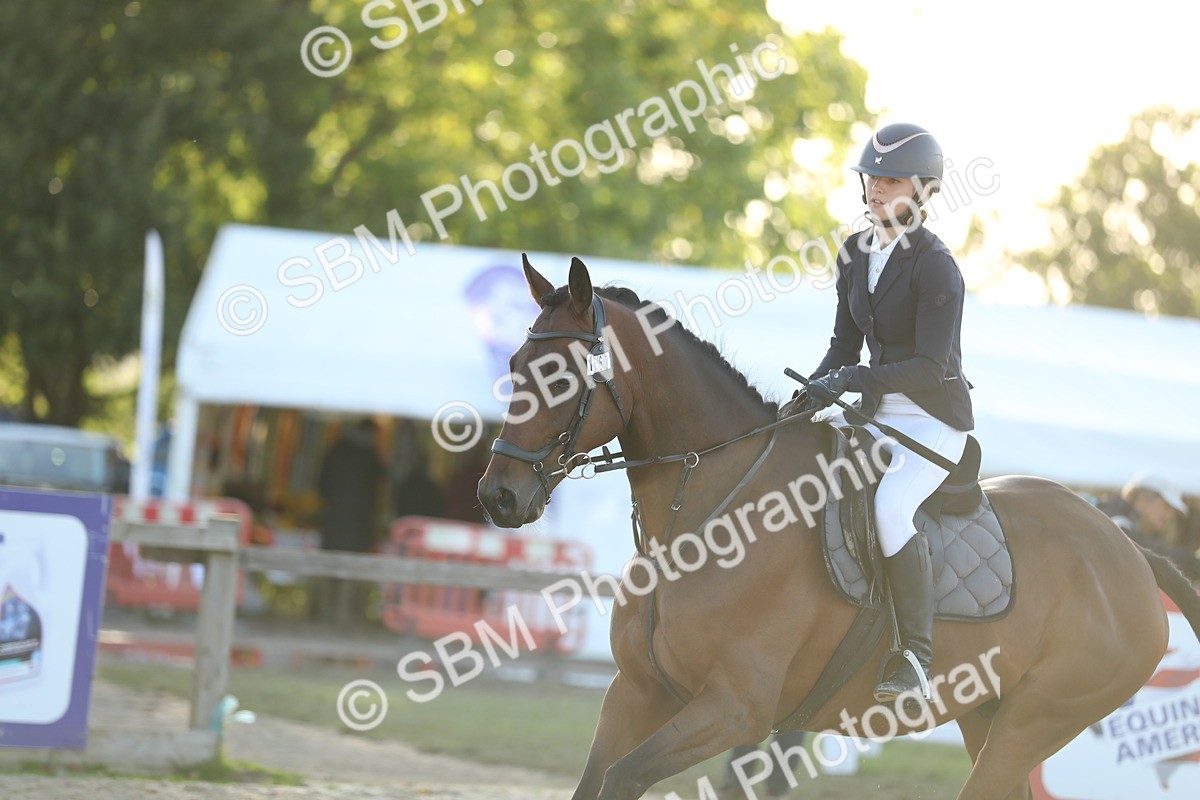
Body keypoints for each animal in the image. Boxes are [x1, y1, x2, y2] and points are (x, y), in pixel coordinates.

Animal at [477, 254, 1200, 800]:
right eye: (513, 365)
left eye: (561, 378)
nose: (498, 497)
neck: (700, 519)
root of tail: (1130, 551)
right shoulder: (637, 693)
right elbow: (595, 781)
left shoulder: (734, 708)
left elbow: (624, 778)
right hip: (986, 713)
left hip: (1035, 719)